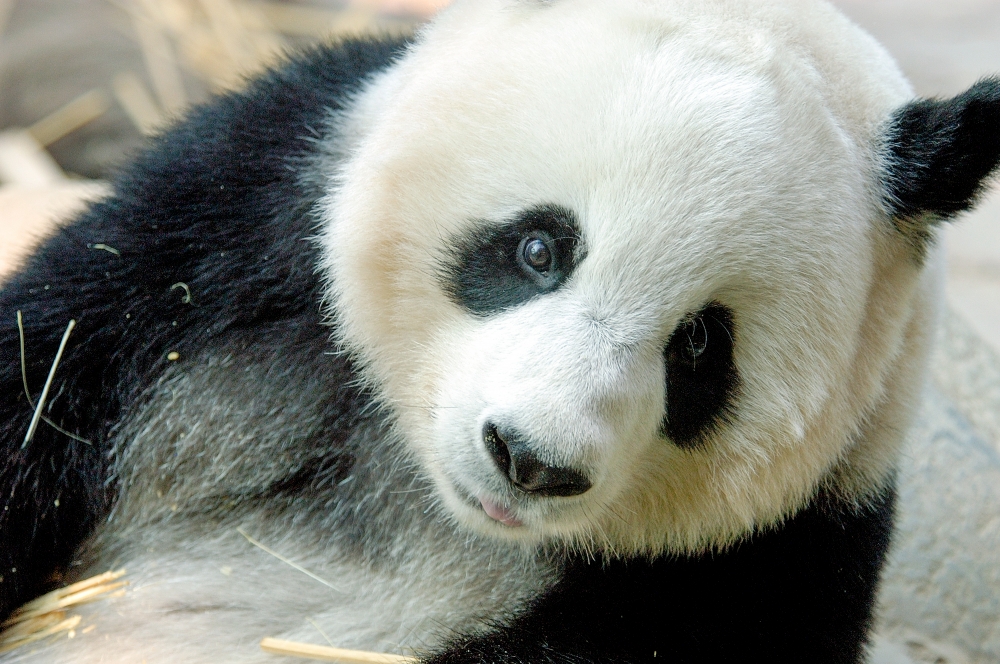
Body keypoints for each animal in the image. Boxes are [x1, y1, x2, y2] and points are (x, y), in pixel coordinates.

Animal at [0, 1, 996, 664]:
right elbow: (49, 365)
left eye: (701, 347)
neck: (429, 498)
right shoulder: (232, 236)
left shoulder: (770, 564)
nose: (529, 459)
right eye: (539, 247)